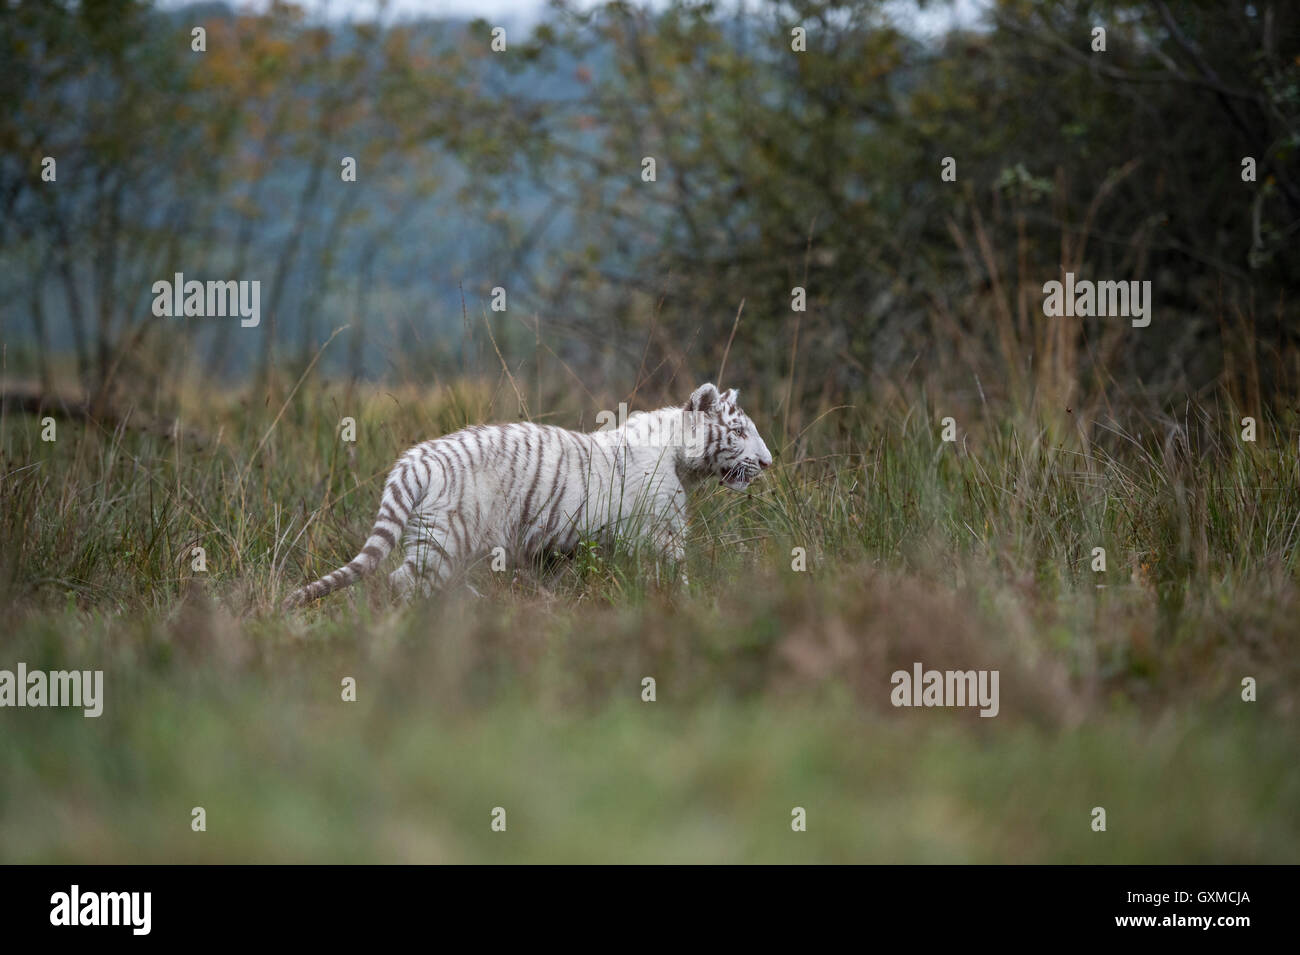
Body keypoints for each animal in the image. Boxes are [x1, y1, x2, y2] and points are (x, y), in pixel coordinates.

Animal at [284, 382, 769, 605]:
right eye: (740, 432)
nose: (767, 463)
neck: (681, 459)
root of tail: (416, 459)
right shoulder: (661, 534)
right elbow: (675, 574)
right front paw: (689, 605)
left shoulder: (553, 546)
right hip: (446, 538)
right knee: (406, 582)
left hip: (430, 534)